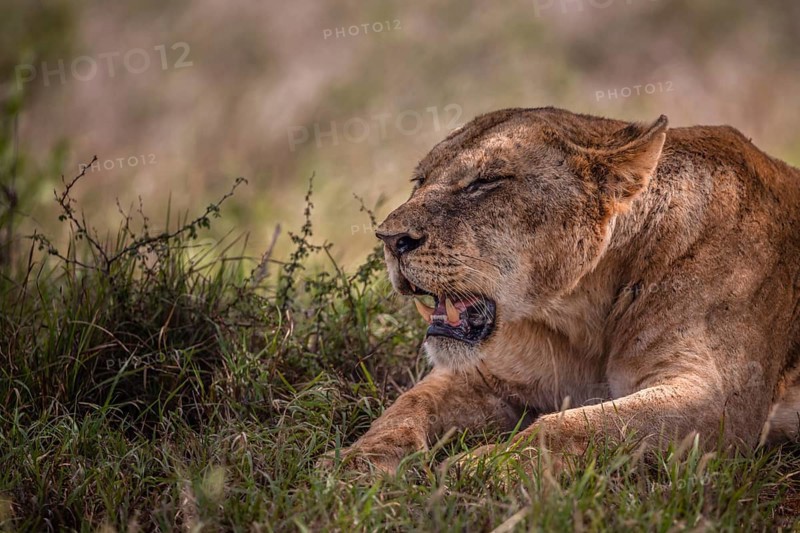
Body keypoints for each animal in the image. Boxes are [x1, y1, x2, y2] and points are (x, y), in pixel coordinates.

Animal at [333, 107, 800, 473]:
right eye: (420, 179)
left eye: (485, 181)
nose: (389, 238)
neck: (579, 320)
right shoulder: (489, 375)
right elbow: (405, 408)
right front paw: (353, 465)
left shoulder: (720, 403)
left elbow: (574, 425)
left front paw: (483, 466)